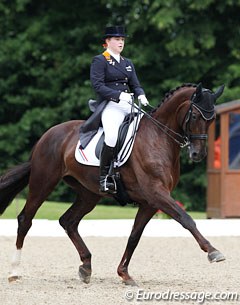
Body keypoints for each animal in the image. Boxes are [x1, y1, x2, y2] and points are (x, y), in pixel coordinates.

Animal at [0, 82, 225, 284]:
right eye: (194, 116)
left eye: (212, 119)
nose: (198, 154)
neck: (158, 138)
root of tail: (47, 135)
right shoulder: (157, 193)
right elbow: (186, 219)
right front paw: (213, 252)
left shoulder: (150, 202)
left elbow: (134, 236)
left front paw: (124, 274)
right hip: (43, 182)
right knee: (25, 219)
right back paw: (14, 272)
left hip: (89, 194)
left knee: (68, 221)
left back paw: (86, 267)